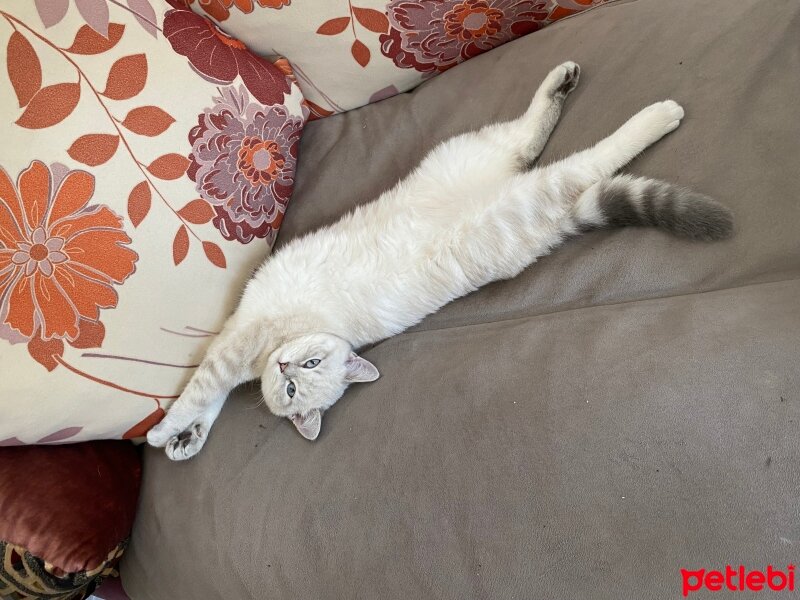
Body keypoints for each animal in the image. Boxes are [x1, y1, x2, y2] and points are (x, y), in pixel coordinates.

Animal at [148, 62, 732, 460]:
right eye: (291, 386)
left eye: (307, 372)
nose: (286, 368)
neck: (270, 352)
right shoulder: (238, 351)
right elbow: (211, 400)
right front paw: (188, 439)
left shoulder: (233, 345)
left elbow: (198, 389)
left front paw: (162, 431)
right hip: (505, 172)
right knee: (534, 141)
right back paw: (569, 83)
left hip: (514, 179)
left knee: (586, 158)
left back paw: (658, 113)